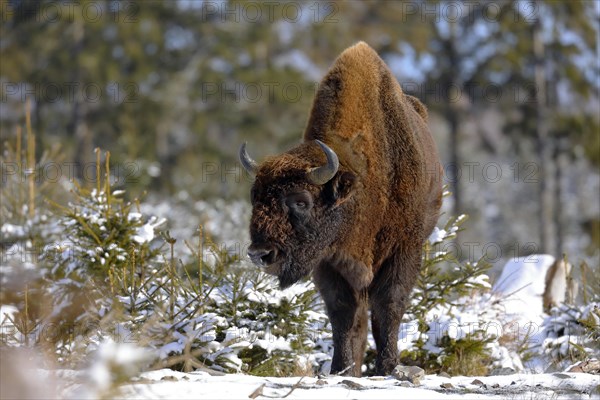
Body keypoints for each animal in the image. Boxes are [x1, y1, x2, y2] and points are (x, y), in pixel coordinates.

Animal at [241, 42, 442, 376]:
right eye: (255, 198)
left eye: (301, 201)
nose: (260, 254)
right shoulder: (329, 261)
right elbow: (344, 314)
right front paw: (342, 369)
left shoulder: (404, 249)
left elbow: (389, 305)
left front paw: (388, 367)